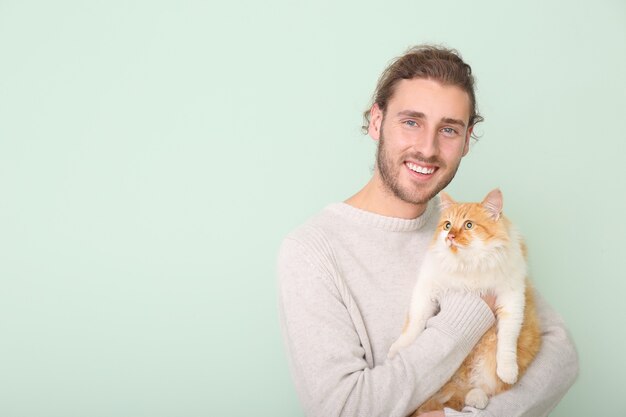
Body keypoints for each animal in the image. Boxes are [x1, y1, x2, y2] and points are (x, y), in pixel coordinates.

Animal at [388, 188, 540, 412]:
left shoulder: (512, 298)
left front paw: (508, 370)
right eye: (447, 225)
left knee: (480, 386)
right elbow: (414, 324)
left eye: (469, 225)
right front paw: (398, 348)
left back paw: (477, 398)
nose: (450, 236)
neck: (467, 264)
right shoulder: (426, 290)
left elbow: (507, 339)